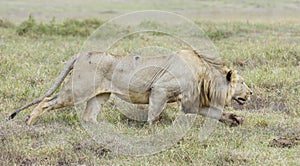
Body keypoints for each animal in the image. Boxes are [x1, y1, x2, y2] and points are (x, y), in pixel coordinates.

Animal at [9, 49, 252, 126]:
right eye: (242, 82)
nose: (251, 93)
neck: (205, 75)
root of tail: (81, 53)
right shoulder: (160, 89)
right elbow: (154, 115)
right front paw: (153, 132)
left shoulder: (191, 103)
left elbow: (215, 113)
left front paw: (235, 120)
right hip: (76, 90)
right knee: (46, 101)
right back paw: (28, 121)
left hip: (100, 96)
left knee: (89, 116)